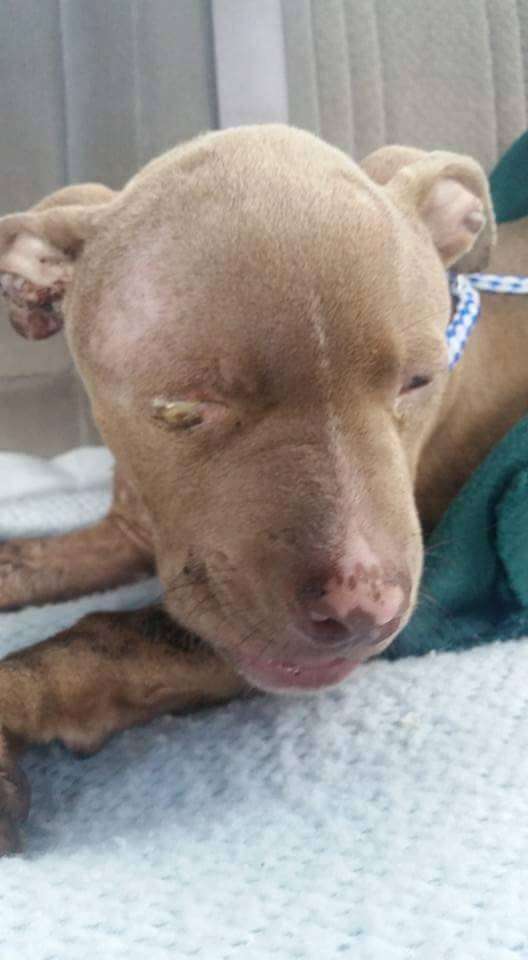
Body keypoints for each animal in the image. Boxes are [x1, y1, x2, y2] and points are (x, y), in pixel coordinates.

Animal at [1, 127, 528, 856]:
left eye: (420, 381)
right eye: (178, 408)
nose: (364, 612)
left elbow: (112, 635)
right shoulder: (135, 530)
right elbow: (27, 559)